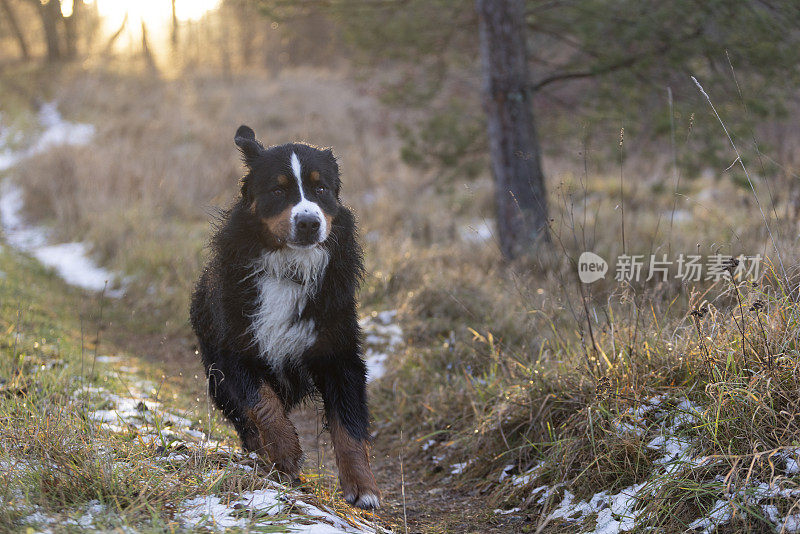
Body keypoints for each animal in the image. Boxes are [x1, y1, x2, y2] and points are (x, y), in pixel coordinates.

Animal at [193, 125, 382, 510]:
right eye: (278, 190)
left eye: (320, 188)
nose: (309, 222)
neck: (289, 269)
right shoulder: (235, 348)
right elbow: (263, 404)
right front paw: (286, 454)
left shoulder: (338, 351)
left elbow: (349, 425)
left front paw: (363, 487)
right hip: (215, 376)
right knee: (245, 420)